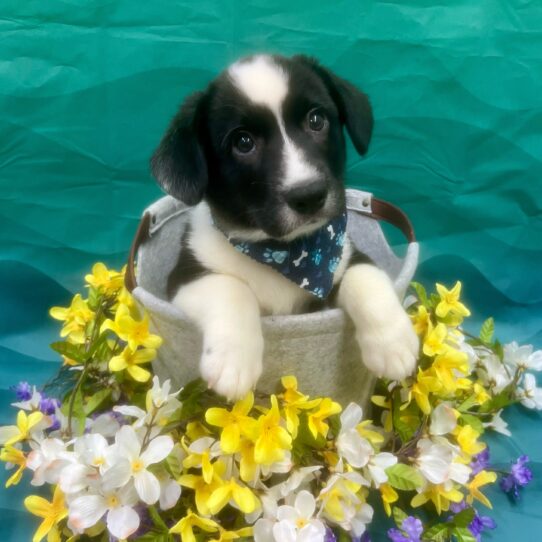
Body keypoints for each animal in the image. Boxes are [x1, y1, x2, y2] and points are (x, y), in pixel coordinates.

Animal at [151, 55, 418, 402]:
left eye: (316, 120)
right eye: (243, 142)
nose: (310, 195)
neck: (285, 250)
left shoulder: (343, 257)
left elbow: (365, 276)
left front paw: (394, 344)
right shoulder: (185, 277)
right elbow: (232, 288)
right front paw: (233, 362)